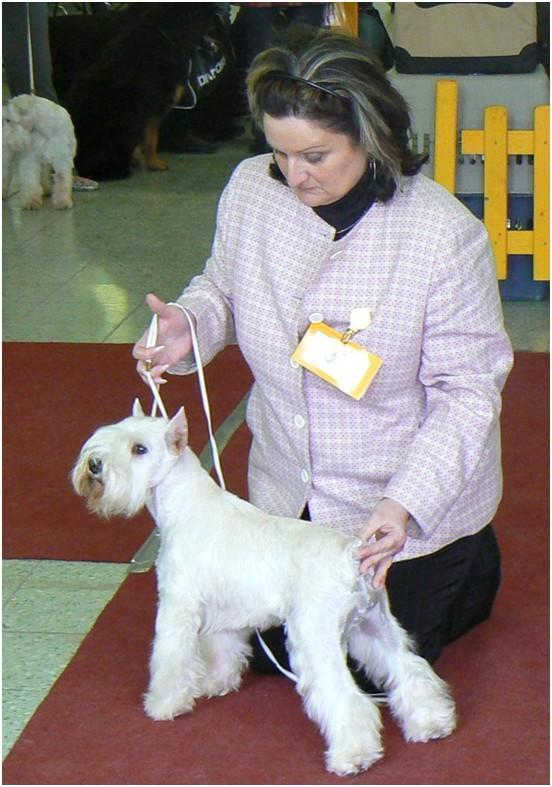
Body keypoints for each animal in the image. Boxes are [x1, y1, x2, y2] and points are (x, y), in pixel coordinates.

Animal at [72, 402, 457, 776]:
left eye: (139, 449)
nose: (94, 465)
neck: (184, 505)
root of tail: (352, 553)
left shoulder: (177, 606)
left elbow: (171, 658)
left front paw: (163, 703)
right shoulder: (226, 614)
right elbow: (222, 649)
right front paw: (216, 683)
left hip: (315, 637)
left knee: (344, 696)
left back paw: (353, 756)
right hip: (373, 628)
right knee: (410, 670)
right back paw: (431, 723)